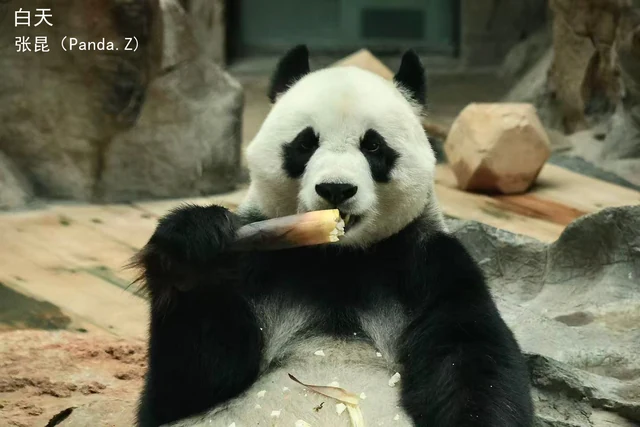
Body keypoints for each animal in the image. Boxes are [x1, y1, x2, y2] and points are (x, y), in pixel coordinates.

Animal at [133, 45, 534, 427]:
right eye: (306, 143)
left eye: (373, 145)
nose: (336, 189)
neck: (337, 260)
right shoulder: (258, 266)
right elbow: (192, 379)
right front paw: (193, 249)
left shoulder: (427, 265)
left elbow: (471, 357)